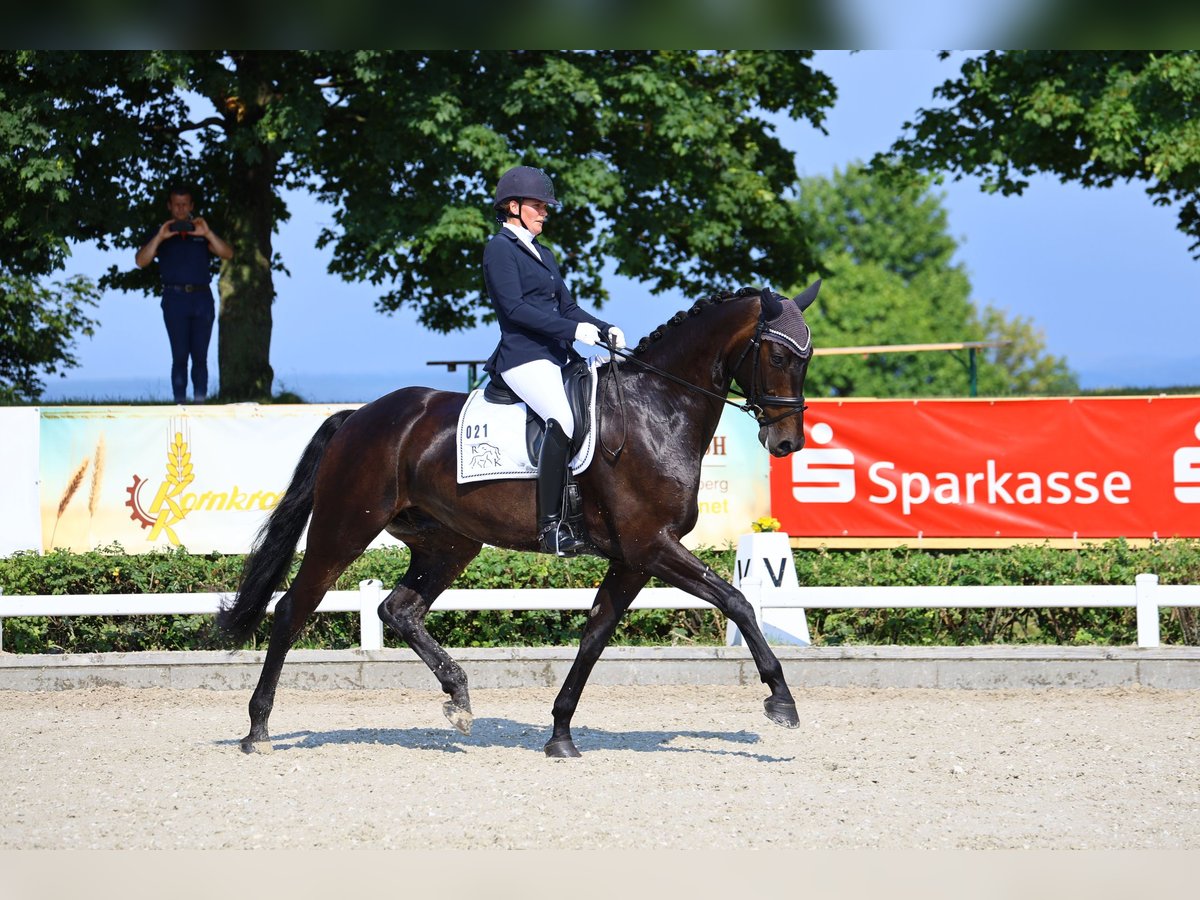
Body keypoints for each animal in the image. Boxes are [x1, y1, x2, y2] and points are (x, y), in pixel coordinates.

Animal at [218, 283, 816, 763]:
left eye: (806, 357)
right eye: (777, 354)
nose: (787, 443)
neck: (657, 409)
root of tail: (358, 417)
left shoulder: (632, 558)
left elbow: (595, 635)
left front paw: (560, 734)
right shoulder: (652, 546)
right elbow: (737, 601)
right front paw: (781, 700)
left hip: (448, 542)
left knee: (398, 609)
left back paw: (458, 698)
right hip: (345, 527)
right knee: (293, 609)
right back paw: (257, 729)